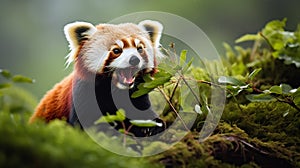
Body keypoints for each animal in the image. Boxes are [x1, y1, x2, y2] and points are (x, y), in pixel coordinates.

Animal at [29, 20, 165, 137]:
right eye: (117, 50)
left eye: (139, 49)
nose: (134, 59)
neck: (115, 90)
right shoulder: (83, 95)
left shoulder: (136, 96)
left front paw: (152, 126)